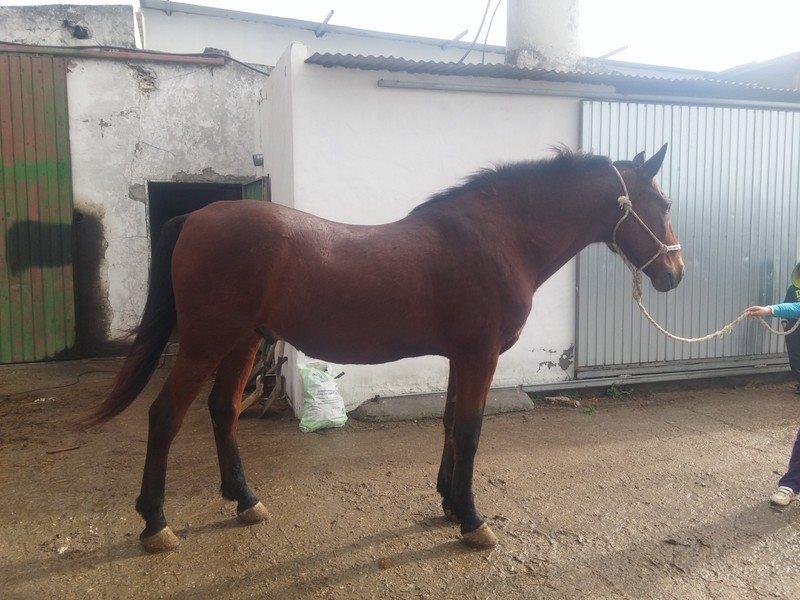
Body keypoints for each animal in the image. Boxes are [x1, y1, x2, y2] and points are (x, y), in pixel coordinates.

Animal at [85, 144, 684, 553]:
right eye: (661, 201)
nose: (675, 273)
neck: (498, 238)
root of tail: (196, 217)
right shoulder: (480, 355)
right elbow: (470, 429)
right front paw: (473, 520)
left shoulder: (460, 356)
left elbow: (450, 422)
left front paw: (449, 503)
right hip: (204, 346)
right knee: (165, 417)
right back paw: (155, 524)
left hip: (242, 342)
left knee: (222, 410)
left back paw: (245, 501)